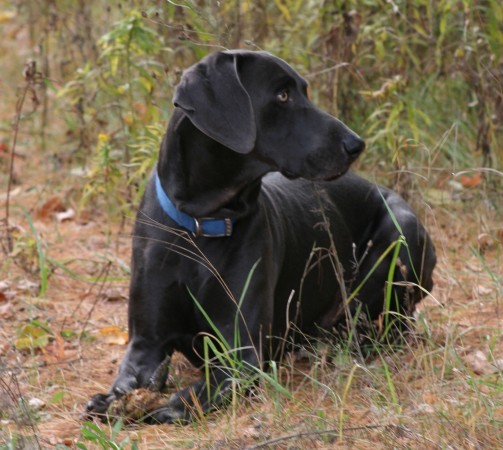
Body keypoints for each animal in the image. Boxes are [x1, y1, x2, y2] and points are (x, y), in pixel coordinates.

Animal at [86, 51, 438, 424]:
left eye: (302, 91)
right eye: (282, 95)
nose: (356, 144)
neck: (202, 222)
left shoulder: (242, 354)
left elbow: (197, 393)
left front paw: (167, 406)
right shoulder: (146, 342)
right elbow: (129, 379)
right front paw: (114, 401)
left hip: (401, 235)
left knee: (393, 327)